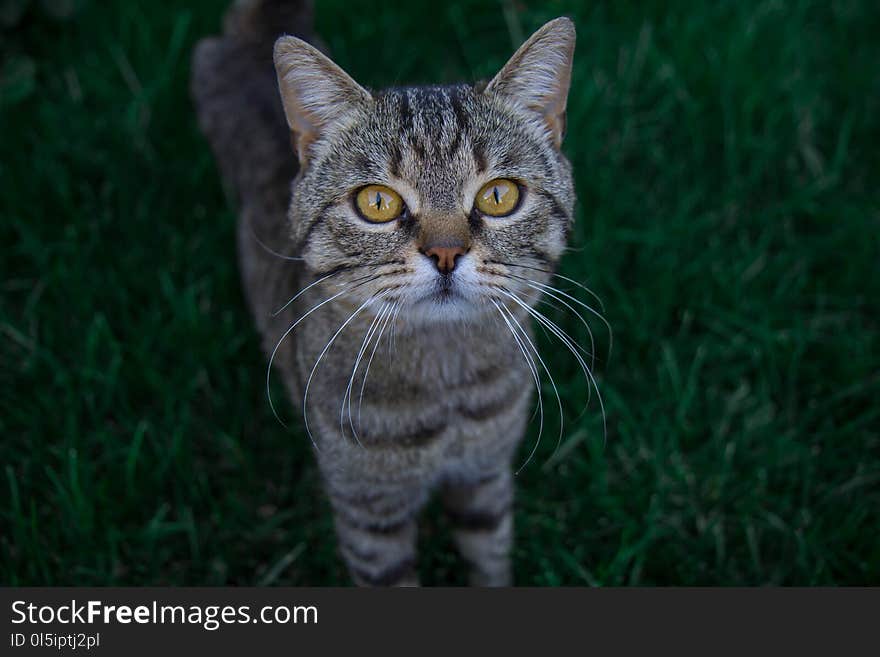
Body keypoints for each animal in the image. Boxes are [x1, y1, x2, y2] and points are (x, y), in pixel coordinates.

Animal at [191, 0, 584, 584]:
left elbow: (489, 558)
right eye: (377, 203)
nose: (445, 252)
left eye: (498, 196)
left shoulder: (484, 476)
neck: (446, 388)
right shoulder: (369, 516)